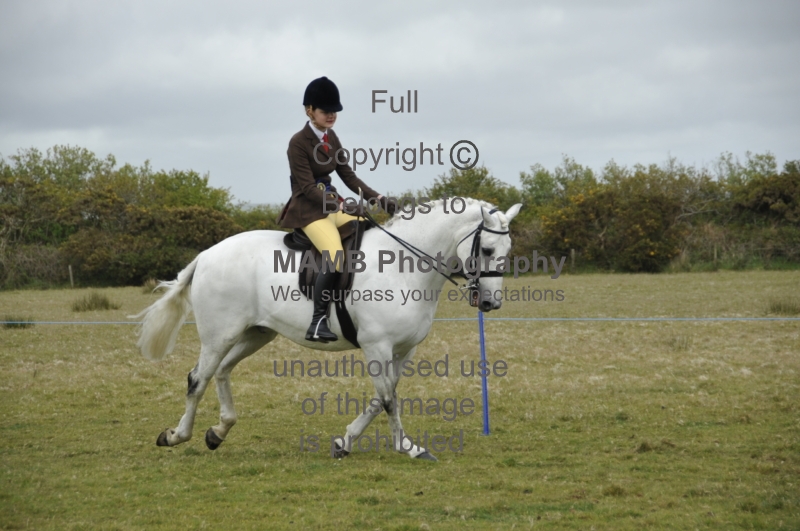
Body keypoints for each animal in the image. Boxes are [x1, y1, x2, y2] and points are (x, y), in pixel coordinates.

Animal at [133, 198, 522, 461]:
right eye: (488, 250)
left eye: (508, 249)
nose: (491, 303)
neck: (404, 265)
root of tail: (207, 255)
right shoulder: (377, 345)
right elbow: (388, 399)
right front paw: (408, 447)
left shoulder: (403, 349)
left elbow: (382, 397)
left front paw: (344, 442)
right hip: (219, 335)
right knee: (197, 379)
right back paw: (176, 435)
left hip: (254, 333)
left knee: (222, 372)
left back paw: (218, 431)